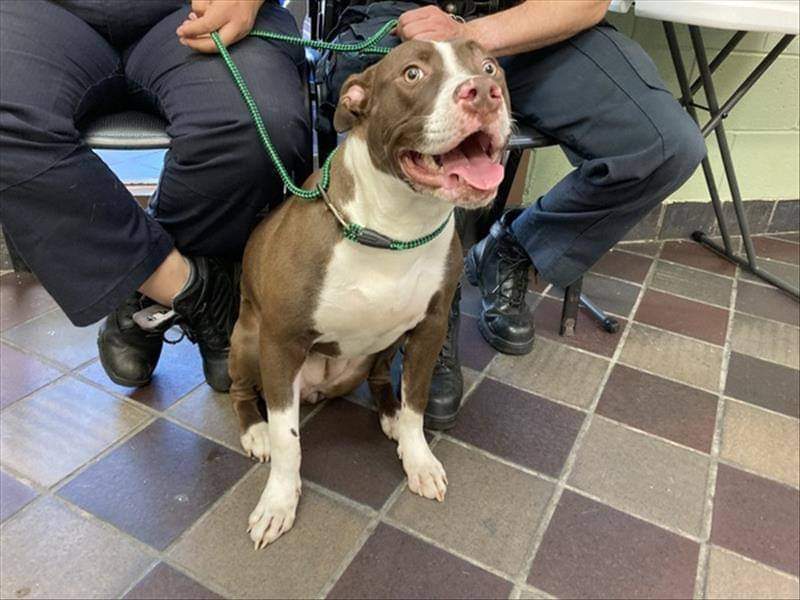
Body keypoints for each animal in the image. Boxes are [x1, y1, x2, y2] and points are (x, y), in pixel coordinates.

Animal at [227, 37, 512, 548]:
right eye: (413, 73)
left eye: (489, 67)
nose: (482, 93)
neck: (396, 226)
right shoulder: (281, 342)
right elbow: (287, 439)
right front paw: (278, 501)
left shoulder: (430, 327)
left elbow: (417, 401)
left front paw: (418, 457)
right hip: (247, 339)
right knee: (243, 391)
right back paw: (255, 431)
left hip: (381, 349)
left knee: (381, 380)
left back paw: (390, 416)